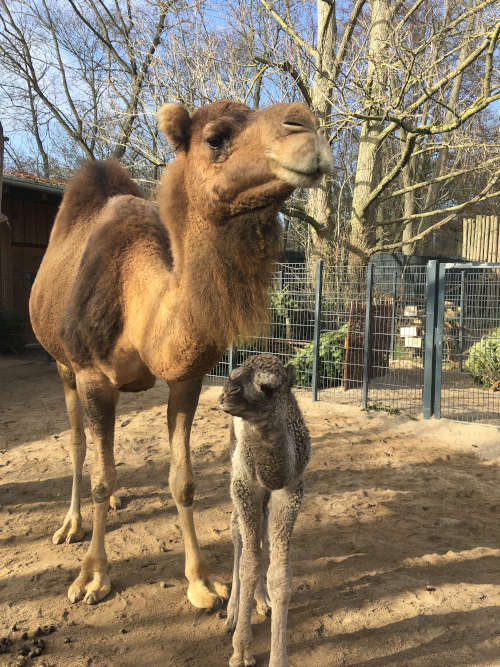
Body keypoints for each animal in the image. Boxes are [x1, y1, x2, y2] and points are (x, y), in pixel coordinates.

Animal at [28, 100, 332, 612]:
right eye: (215, 137)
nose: (306, 128)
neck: (140, 309)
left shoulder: (185, 379)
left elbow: (183, 481)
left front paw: (202, 583)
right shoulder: (92, 374)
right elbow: (99, 475)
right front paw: (93, 577)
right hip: (63, 364)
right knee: (78, 444)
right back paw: (72, 524)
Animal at [219, 354, 308, 667]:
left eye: (267, 386)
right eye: (233, 373)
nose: (227, 393)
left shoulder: (291, 489)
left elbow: (280, 575)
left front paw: (278, 658)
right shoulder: (245, 484)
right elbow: (249, 564)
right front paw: (240, 652)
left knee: (259, 539)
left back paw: (262, 601)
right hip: (235, 469)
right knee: (237, 532)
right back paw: (233, 612)